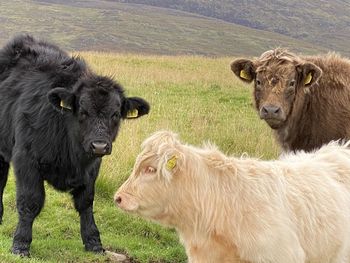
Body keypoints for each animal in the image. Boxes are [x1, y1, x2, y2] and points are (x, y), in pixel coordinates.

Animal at [0, 34, 149, 256]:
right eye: (83, 111)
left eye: (115, 114)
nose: (99, 145)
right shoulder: (26, 160)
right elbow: (30, 201)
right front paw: (20, 244)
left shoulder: (92, 167)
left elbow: (86, 202)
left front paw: (93, 241)